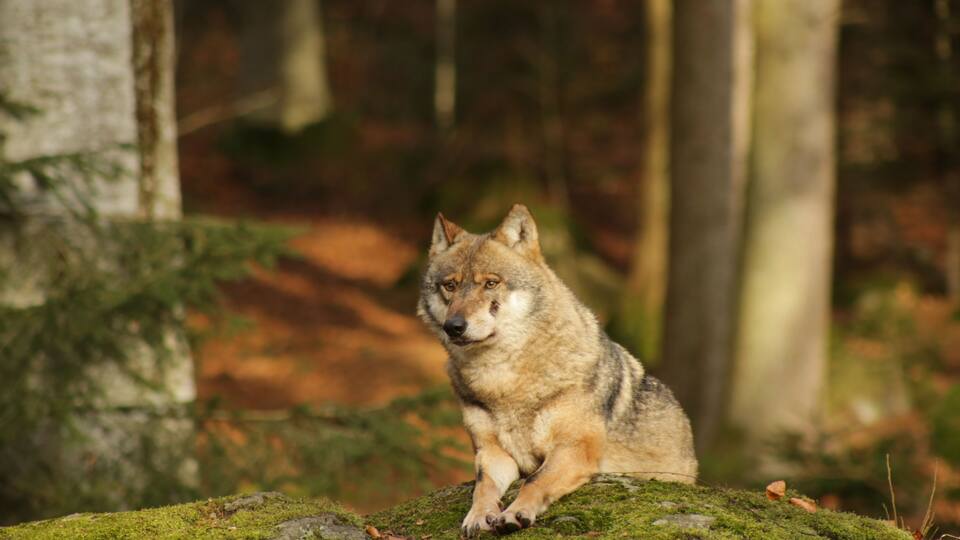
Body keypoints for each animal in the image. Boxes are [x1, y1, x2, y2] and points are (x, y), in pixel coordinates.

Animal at [417, 204, 698, 536]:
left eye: (491, 283)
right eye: (450, 286)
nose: (454, 327)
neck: (503, 382)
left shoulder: (575, 448)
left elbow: (534, 480)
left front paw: (515, 513)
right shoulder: (492, 452)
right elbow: (482, 486)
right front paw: (478, 515)